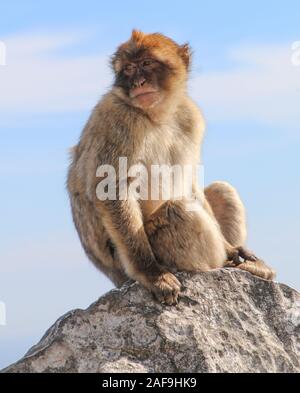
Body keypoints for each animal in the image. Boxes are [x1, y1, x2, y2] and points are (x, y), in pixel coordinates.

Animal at [67, 31, 276, 306]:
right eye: (129, 68)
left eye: (146, 63)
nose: (138, 83)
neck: (157, 115)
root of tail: (115, 278)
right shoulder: (115, 118)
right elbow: (112, 187)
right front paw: (151, 273)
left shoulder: (190, 116)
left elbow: (190, 183)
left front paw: (232, 248)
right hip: (145, 250)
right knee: (180, 209)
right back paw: (224, 264)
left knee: (221, 190)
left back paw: (239, 259)